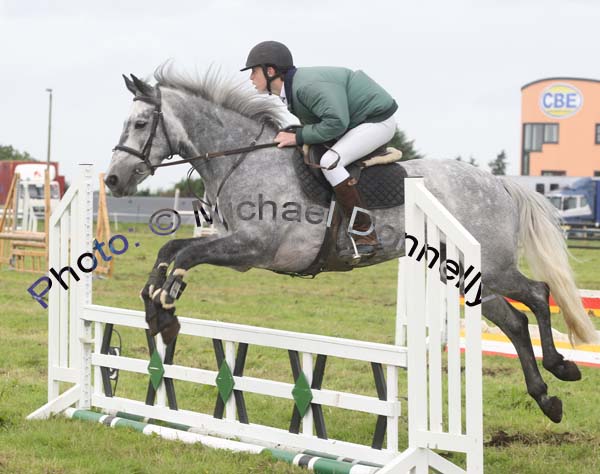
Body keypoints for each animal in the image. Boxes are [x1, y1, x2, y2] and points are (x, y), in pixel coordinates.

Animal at [105, 65, 596, 422]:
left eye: (141, 123)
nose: (112, 179)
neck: (243, 159)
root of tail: (500, 183)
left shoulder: (255, 249)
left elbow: (186, 255)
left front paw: (166, 309)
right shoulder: (234, 246)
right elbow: (170, 252)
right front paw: (154, 305)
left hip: (487, 268)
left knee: (536, 296)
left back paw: (558, 374)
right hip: (461, 273)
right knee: (517, 318)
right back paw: (551, 390)